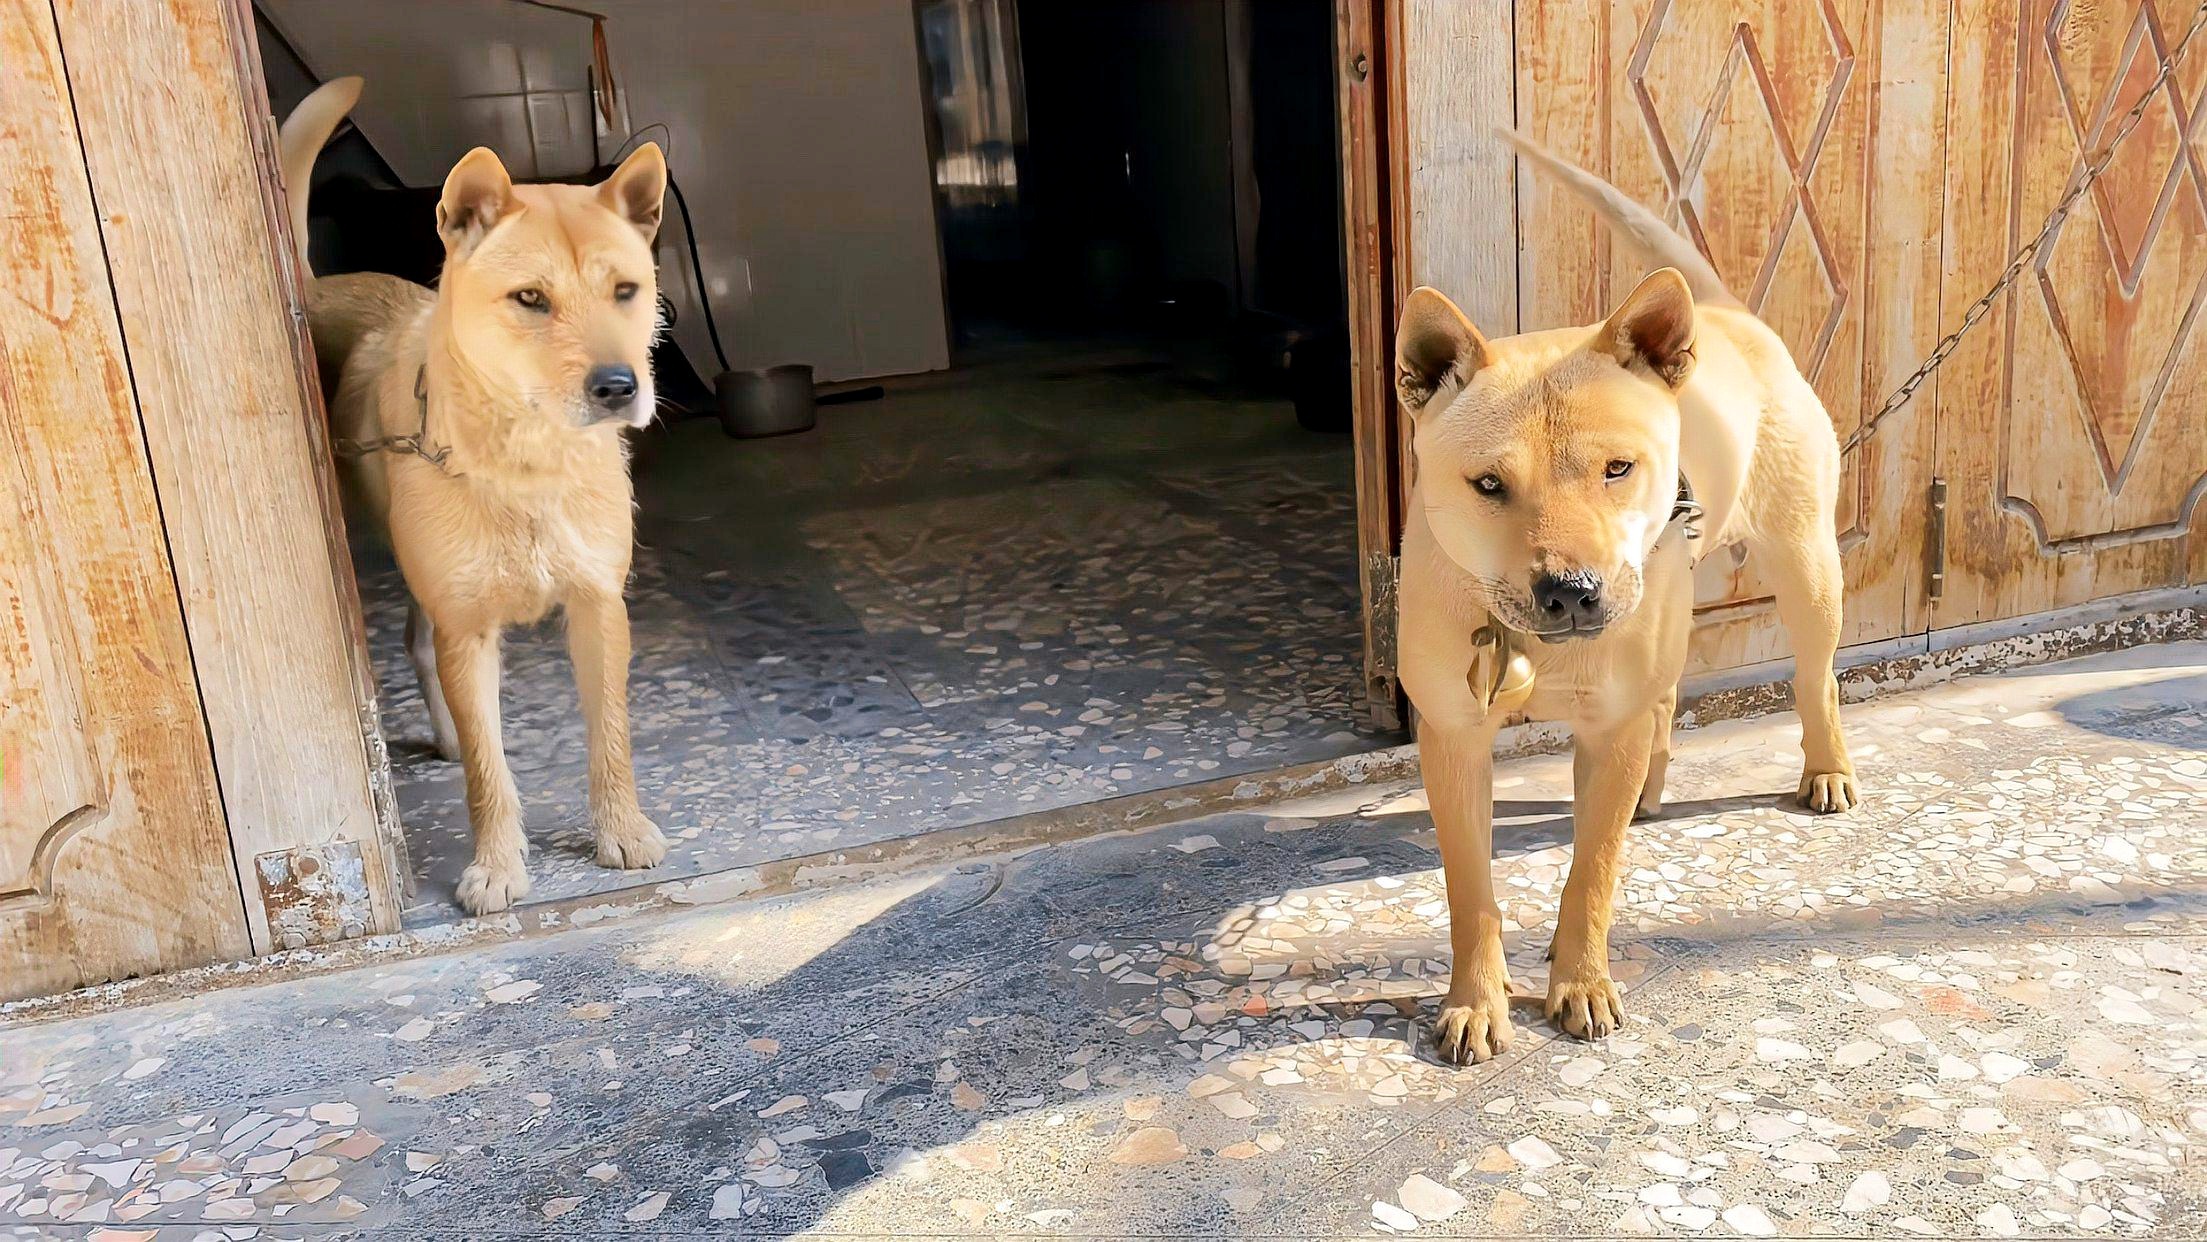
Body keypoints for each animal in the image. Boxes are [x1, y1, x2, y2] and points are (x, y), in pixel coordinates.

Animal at [282, 75, 670, 913]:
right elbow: (489, 774)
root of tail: (312, 282)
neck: (526, 461)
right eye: (530, 299)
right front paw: (496, 865)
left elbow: (612, 738)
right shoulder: (468, 626)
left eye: (627, 291)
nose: (619, 387)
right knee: (423, 655)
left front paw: (620, 829)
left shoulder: (598, 606)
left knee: (418, 643)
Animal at [1394, 136, 1862, 1067]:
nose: (1570, 593)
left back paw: (1823, 767)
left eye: (1618, 468)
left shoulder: (1603, 731)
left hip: (1805, 568)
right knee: (1666, 695)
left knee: (1811, 676)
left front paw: (1577, 980)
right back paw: (1655, 779)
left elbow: (1591, 872)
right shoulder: (1453, 741)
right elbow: (1470, 889)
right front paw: (1476, 998)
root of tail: (1723, 315)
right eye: (1487, 484)